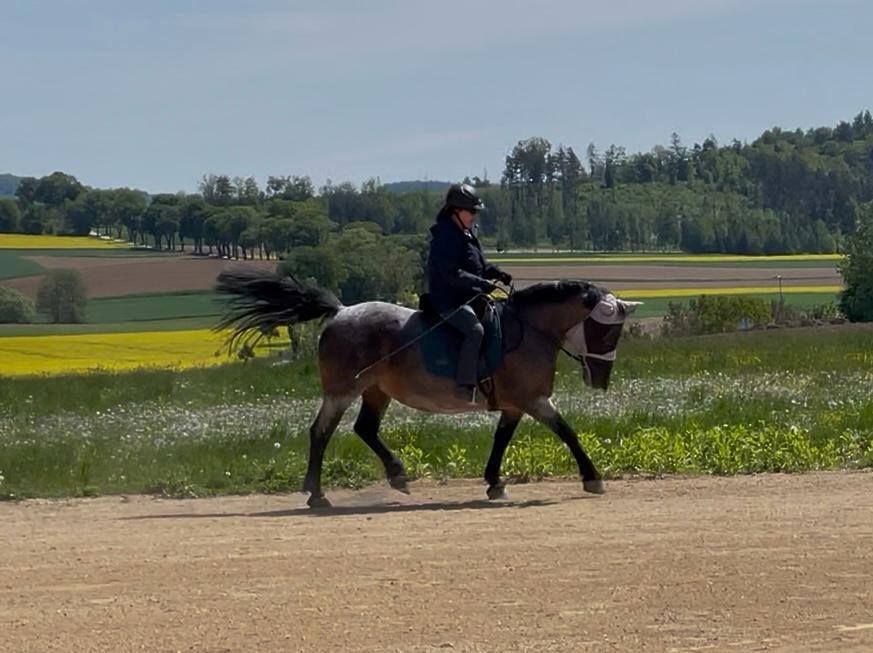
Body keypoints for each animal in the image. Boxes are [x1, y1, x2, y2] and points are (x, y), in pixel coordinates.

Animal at [215, 268, 640, 508]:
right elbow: (567, 431)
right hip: (342, 391)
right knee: (321, 431)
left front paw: (495, 483)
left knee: (364, 429)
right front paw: (592, 478)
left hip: (377, 390)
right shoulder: (533, 399)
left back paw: (396, 475)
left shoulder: (515, 404)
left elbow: (502, 439)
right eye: (606, 330)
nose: (601, 380)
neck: (530, 329)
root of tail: (340, 312)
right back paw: (317, 494)